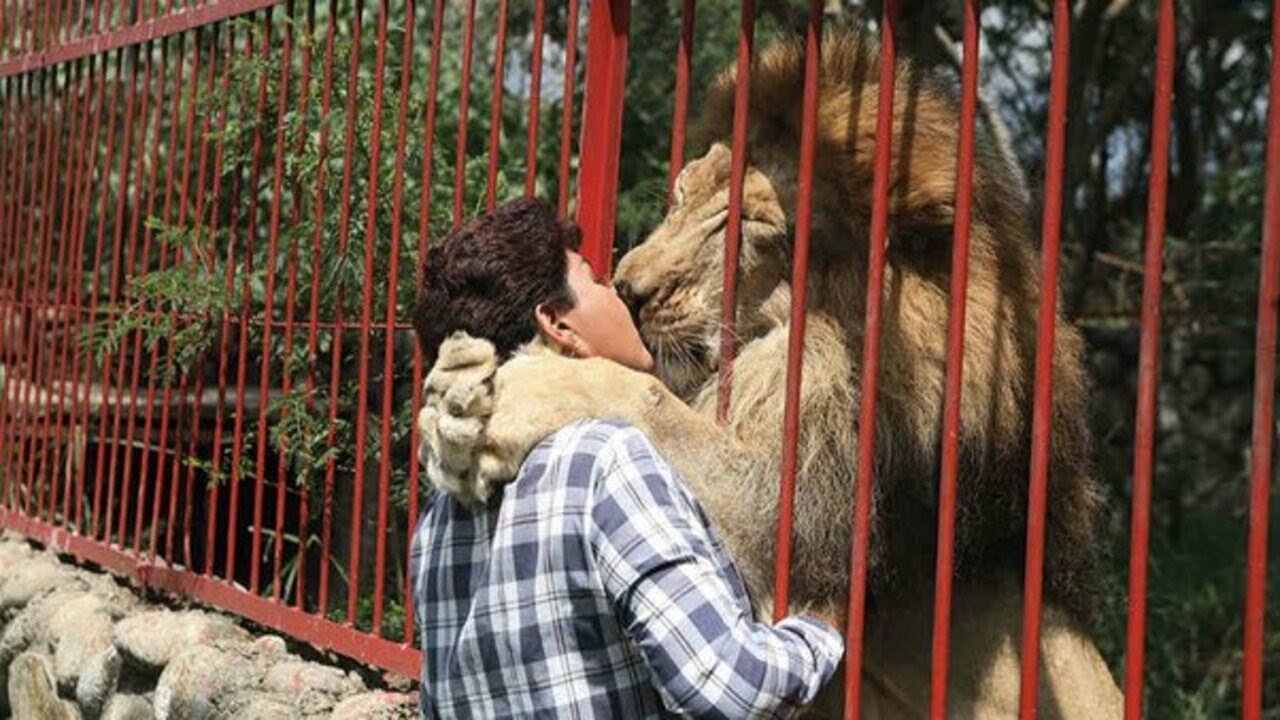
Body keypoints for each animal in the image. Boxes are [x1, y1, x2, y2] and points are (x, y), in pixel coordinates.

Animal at [419, 30, 1121, 712]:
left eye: (749, 225)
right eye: (683, 194)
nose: (626, 289)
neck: (793, 346)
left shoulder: (799, 537)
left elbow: (647, 397)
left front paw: (515, 390)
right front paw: (454, 392)